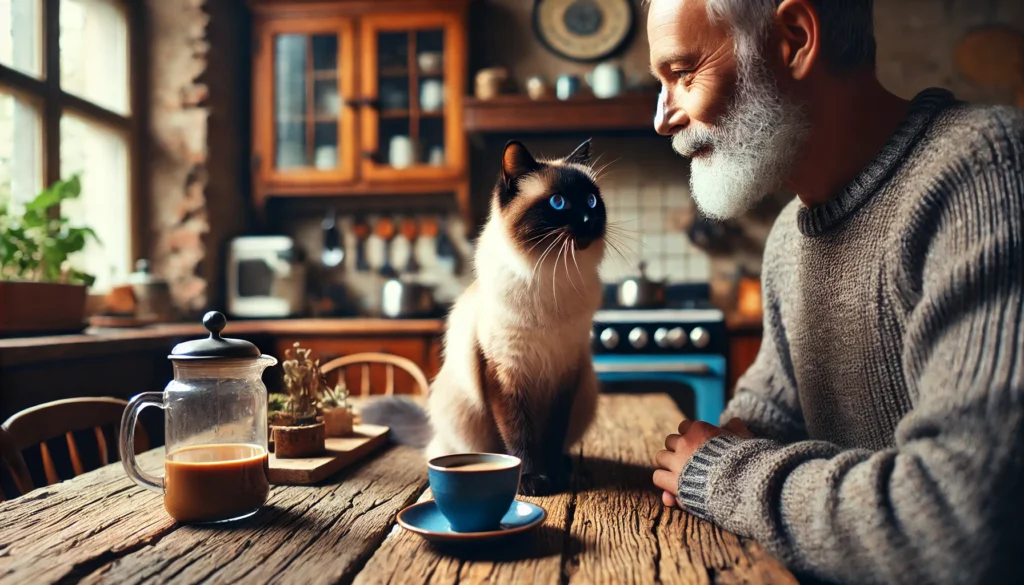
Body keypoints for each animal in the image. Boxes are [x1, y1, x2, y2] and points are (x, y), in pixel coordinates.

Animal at [360, 139, 602, 495]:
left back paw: (567, 464)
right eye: (558, 203)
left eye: (592, 200)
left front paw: (555, 475)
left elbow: (551, 437)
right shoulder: (504, 373)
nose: (589, 219)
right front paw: (531, 480)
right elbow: (519, 437)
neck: (555, 277)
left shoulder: (565, 373)